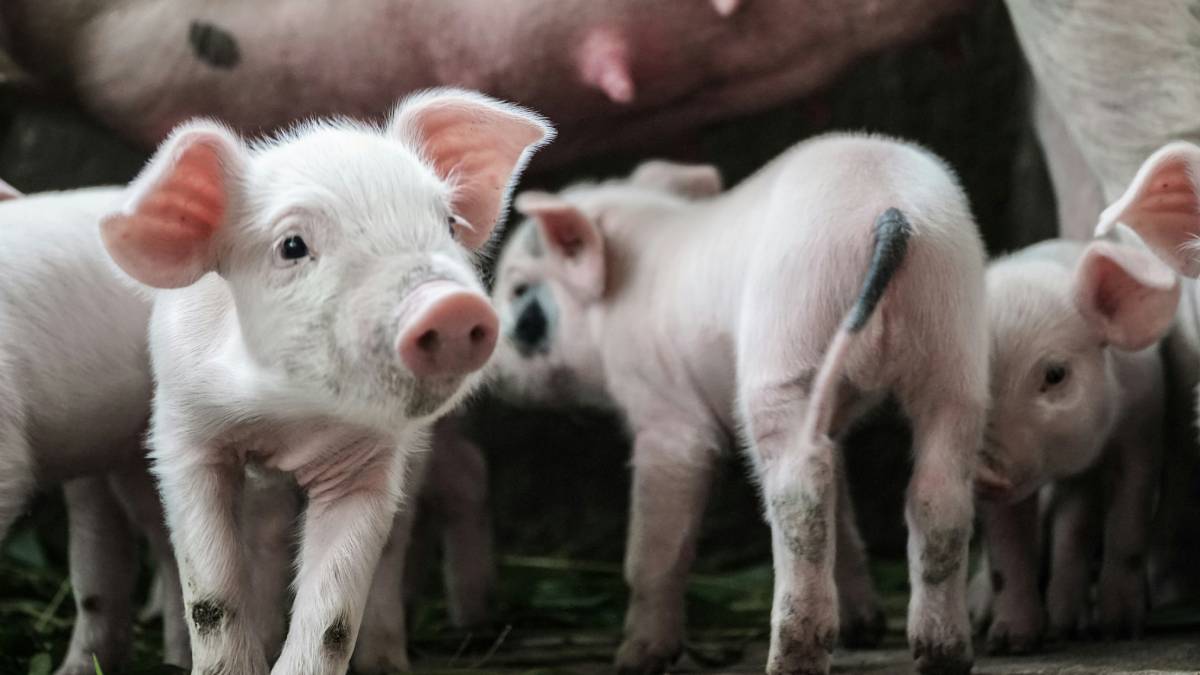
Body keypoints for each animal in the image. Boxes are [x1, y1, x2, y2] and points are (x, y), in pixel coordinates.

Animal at [96, 88, 551, 675]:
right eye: (292, 246)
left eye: (449, 223)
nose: (450, 305)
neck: (288, 420)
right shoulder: (184, 437)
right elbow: (211, 598)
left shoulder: (369, 464)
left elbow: (334, 617)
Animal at [490, 136, 989, 675]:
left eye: (519, 292)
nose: (488, 369)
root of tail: (890, 211)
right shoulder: (832, 419)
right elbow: (843, 510)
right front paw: (865, 630)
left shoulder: (666, 414)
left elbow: (656, 546)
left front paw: (635, 660)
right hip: (953, 341)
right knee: (936, 493)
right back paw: (942, 657)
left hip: (787, 346)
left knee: (800, 495)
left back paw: (789, 662)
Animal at [970, 239, 1177, 653]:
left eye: (1055, 374)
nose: (983, 467)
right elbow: (1007, 549)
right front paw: (1011, 644)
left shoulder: (1143, 426)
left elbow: (1127, 522)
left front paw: (1120, 630)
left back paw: (1071, 625)